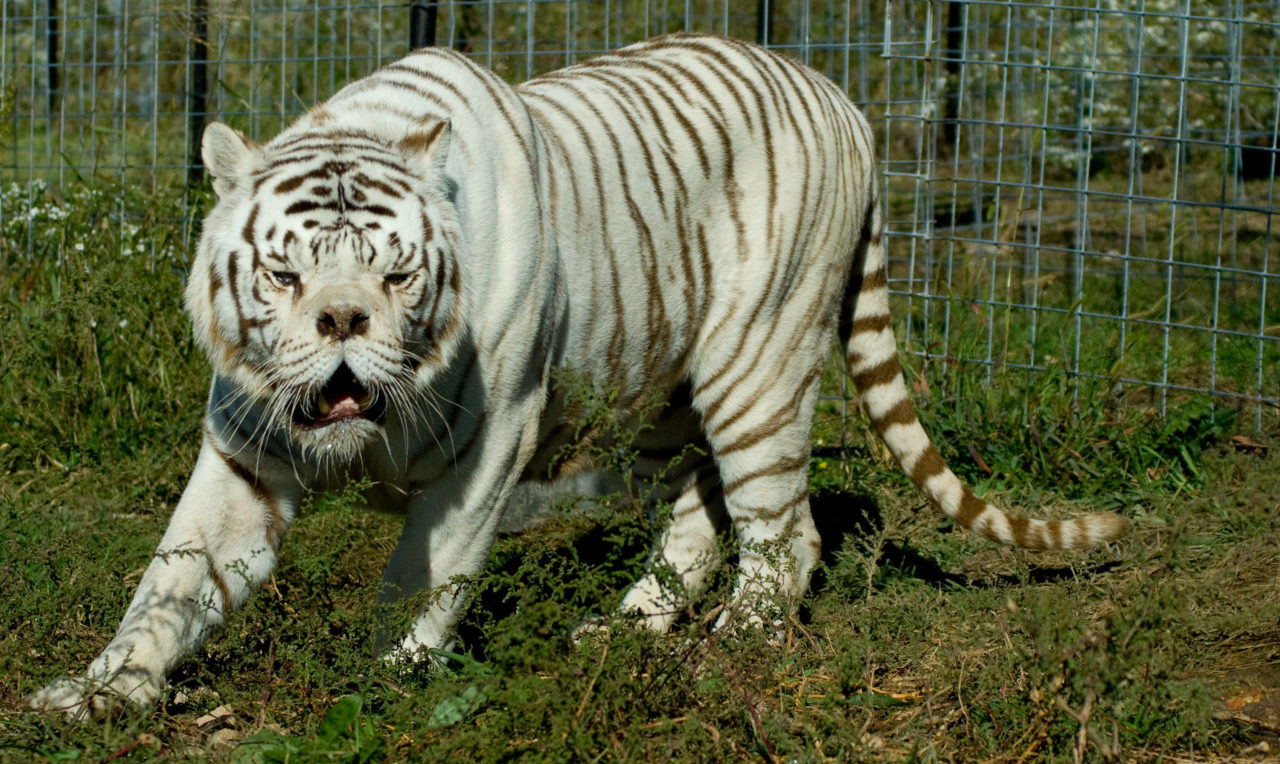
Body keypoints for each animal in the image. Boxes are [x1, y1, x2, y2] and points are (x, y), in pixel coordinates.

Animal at [30, 34, 1126, 716]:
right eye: (287, 272)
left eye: (394, 273)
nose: (342, 321)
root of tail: (845, 100)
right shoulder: (246, 448)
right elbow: (173, 575)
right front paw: (100, 691)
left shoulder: (489, 440)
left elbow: (422, 573)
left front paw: (384, 680)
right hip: (669, 384)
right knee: (698, 510)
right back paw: (627, 627)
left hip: (757, 364)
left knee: (786, 531)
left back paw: (729, 645)